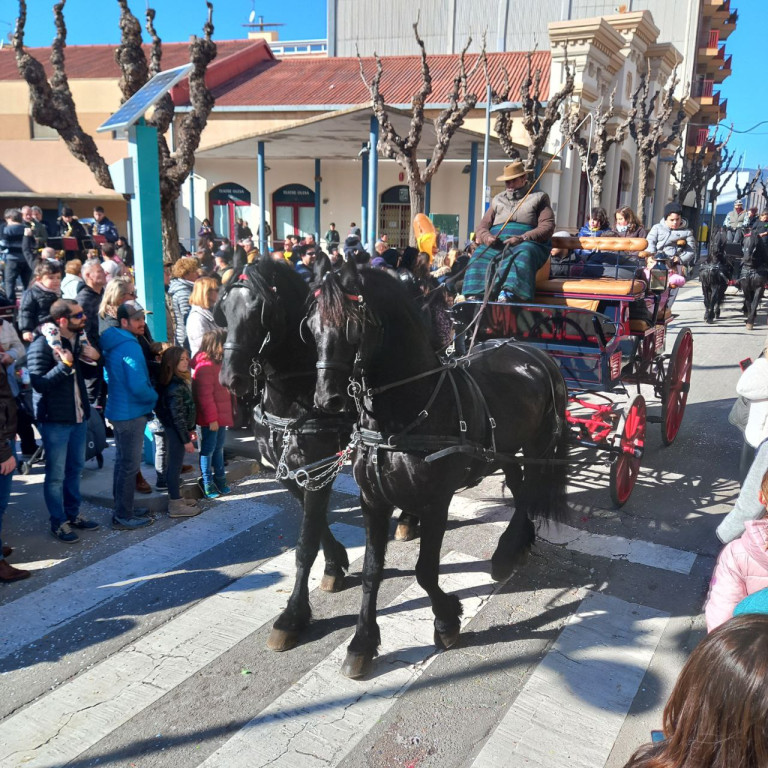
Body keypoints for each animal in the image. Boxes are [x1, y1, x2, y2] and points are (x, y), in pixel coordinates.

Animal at [216, 258, 354, 648]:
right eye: (224, 312)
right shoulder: (291, 472)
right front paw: (335, 563)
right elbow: (315, 522)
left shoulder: (320, 466)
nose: (230, 379)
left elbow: (305, 544)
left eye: (258, 313)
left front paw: (293, 614)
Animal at [308, 260, 568, 680]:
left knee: (529, 491)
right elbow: (372, 572)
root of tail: (536, 353)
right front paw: (362, 642)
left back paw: (507, 550)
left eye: (351, 326)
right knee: (519, 488)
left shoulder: (435, 504)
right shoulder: (372, 501)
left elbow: (425, 570)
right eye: (312, 326)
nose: (325, 399)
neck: (401, 417)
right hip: (505, 451)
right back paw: (516, 545)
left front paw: (447, 620)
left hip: (538, 445)